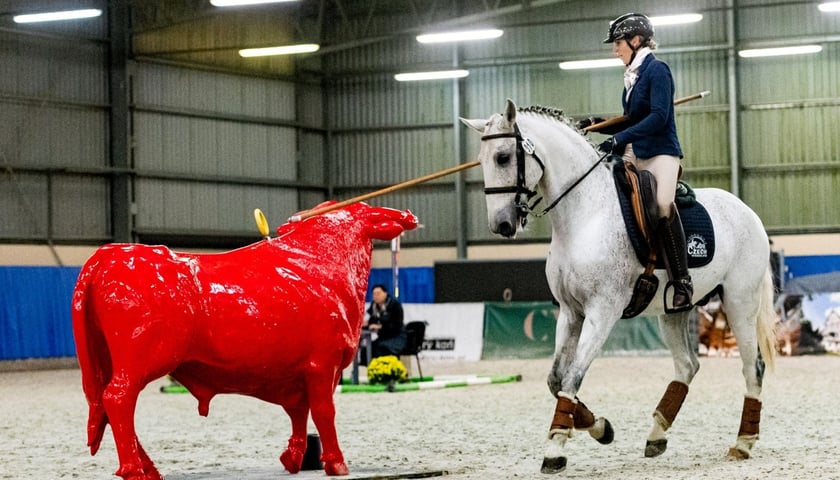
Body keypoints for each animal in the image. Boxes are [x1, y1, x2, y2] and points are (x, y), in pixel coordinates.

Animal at [462, 99, 776, 474]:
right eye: (482, 160)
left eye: (503, 157)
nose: (502, 224)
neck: (584, 215)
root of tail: (747, 211)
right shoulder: (570, 312)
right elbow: (556, 380)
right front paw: (600, 428)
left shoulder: (602, 311)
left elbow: (572, 377)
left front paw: (556, 448)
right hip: (674, 310)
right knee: (688, 366)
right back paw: (657, 434)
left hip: (740, 302)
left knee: (752, 367)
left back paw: (743, 442)